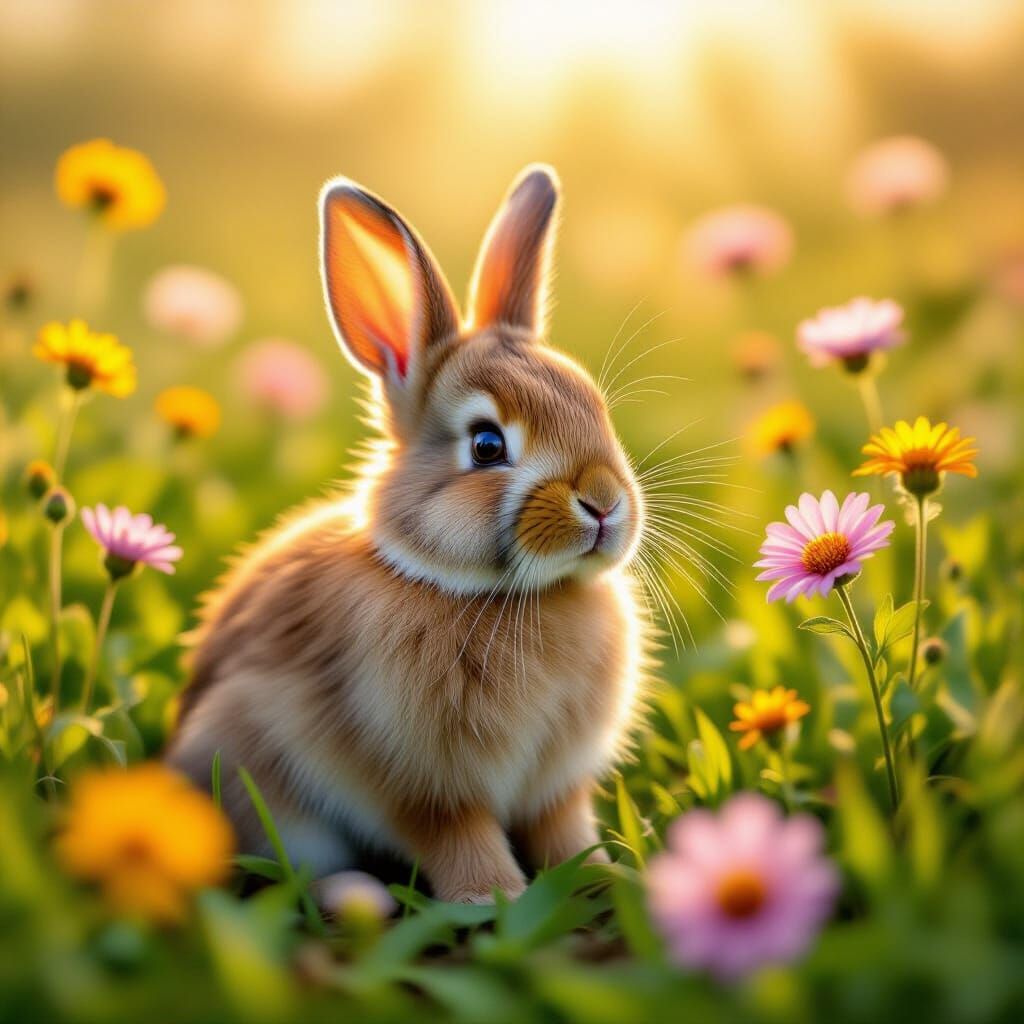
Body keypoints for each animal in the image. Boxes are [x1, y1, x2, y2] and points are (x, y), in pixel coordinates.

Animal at [166, 164, 651, 904]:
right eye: (486, 445)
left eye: (596, 409)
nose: (603, 503)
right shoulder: (423, 786)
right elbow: (458, 837)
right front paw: (493, 898)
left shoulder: (556, 786)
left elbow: (563, 830)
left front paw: (604, 875)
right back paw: (356, 897)